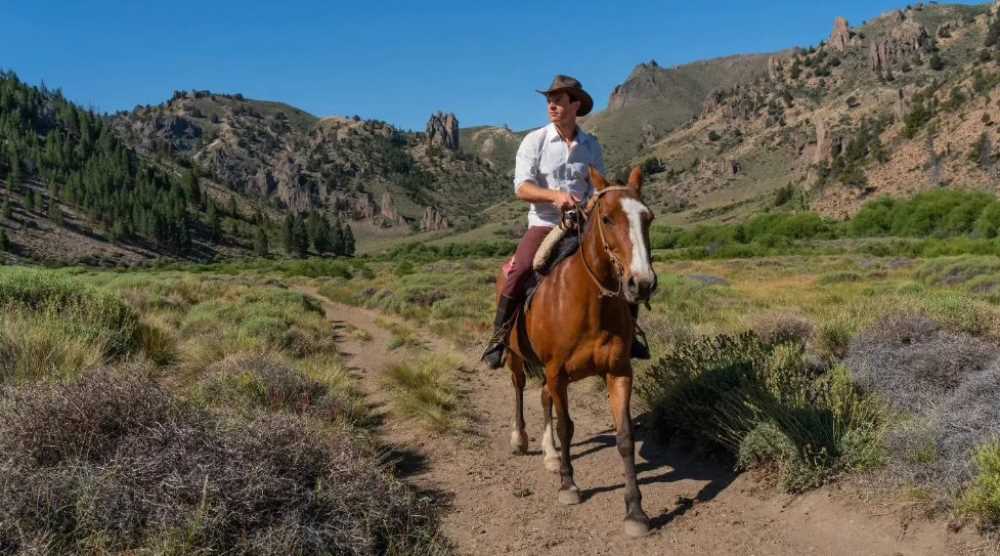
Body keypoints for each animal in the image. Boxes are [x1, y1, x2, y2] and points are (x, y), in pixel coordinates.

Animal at [498, 166, 656, 540]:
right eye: (608, 218)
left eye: (648, 218)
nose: (642, 283)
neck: (590, 302)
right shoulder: (557, 372)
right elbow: (567, 426)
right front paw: (568, 486)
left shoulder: (618, 371)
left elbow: (624, 436)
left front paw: (635, 511)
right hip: (516, 359)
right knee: (519, 390)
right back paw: (520, 439)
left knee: (543, 399)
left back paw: (551, 454)